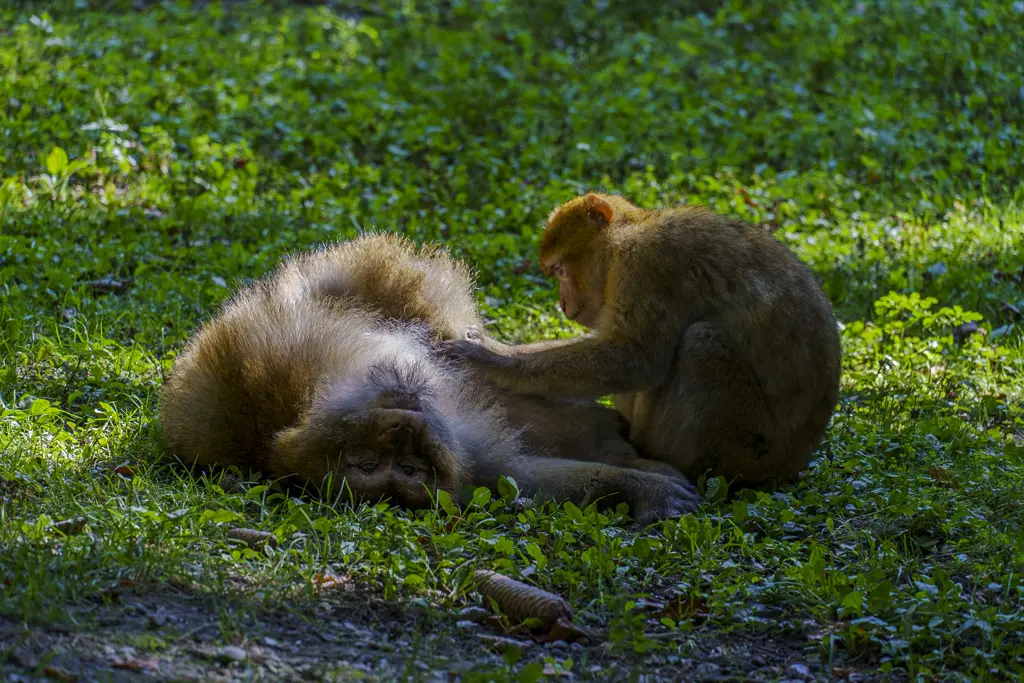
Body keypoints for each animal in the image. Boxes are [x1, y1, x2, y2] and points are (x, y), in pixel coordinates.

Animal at [159, 233, 699, 523]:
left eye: (403, 467)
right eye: (378, 467)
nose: (405, 429)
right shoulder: (474, 469)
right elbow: (528, 477)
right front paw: (635, 485)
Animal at [441, 193, 842, 493]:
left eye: (559, 270)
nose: (564, 304)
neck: (632, 234)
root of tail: (791, 464)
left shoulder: (646, 263)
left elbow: (635, 360)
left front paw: (493, 358)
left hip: (748, 447)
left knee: (702, 343)